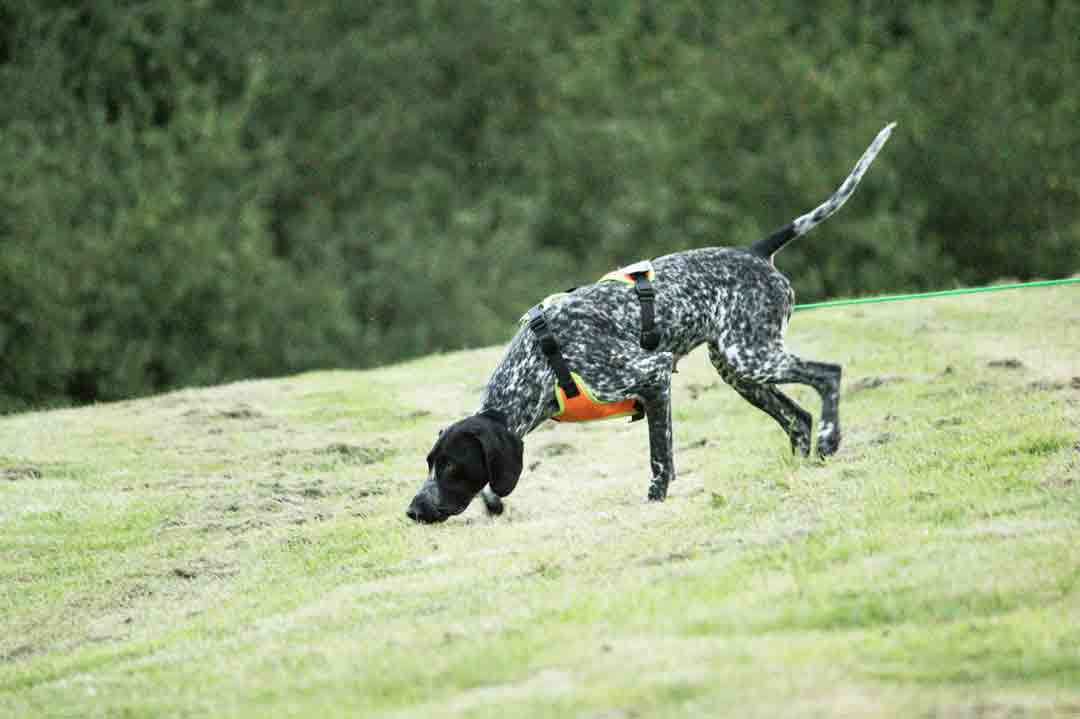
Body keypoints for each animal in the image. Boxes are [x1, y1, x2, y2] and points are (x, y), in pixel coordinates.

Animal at [406, 124, 894, 520]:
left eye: (452, 466)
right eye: (430, 463)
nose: (413, 511)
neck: (541, 365)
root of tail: (755, 251)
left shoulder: (653, 377)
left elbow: (661, 457)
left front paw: (655, 498)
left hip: (752, 358)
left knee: (828, 375)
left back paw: (830, 439)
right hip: (740, 369)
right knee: (798, 418)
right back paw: (801, 466)